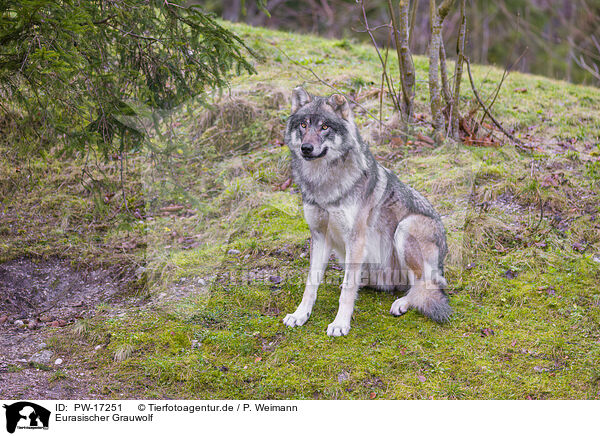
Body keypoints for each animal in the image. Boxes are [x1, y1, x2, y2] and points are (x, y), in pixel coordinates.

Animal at [282, 86, 450, 338]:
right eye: (303, 125)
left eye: (325, 127)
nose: (306, 148)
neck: (324, 183)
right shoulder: (320, 236)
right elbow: (311, 283)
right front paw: (300, 314)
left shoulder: (356, 238)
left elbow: (346, 292)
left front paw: (340, 324)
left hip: (405, 228)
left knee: (425, 284)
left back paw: (401, 302)